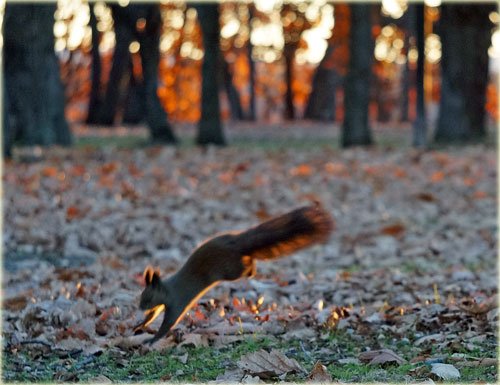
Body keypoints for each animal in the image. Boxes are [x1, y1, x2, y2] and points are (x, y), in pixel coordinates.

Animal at [135, 202, 334, 344]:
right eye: (143, 296)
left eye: (148, 298)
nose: (140, 307)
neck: (167, 289)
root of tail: (236, 242)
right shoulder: (163, 304)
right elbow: (153, 316)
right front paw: (140, 324)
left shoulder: (176, 302)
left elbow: (168, 323)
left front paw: (152, 340)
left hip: (231, 269)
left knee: (246, 264)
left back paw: (252, 270)